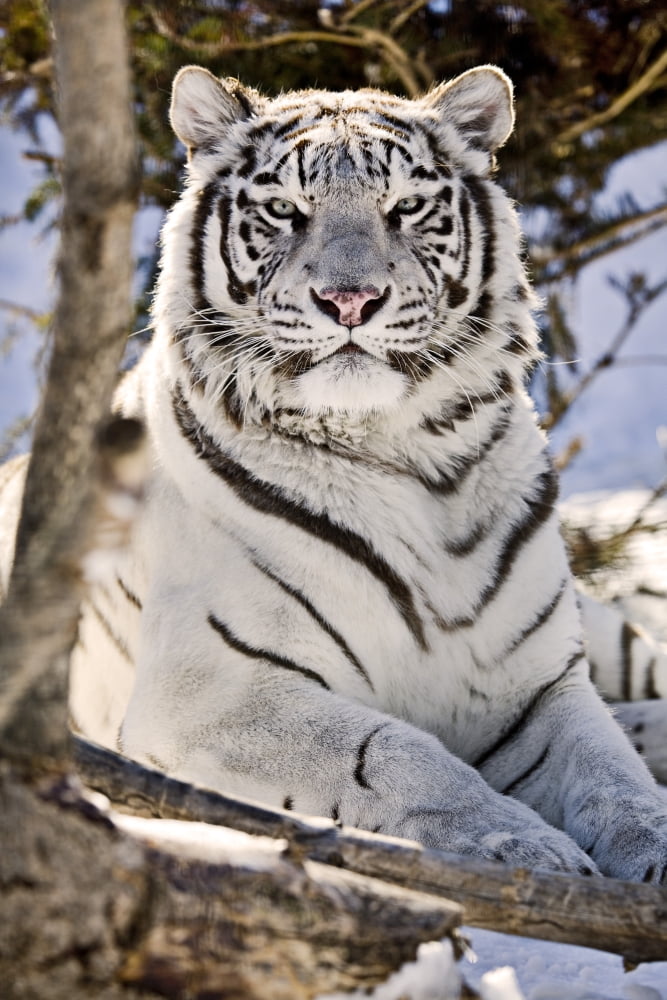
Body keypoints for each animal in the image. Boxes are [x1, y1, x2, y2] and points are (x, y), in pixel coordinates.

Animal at [2, 64, 667, 881]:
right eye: (285, 211)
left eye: (406, 207)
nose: (350, 300)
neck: (415, 467)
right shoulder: (213, 692)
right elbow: (398, 754)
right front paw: (524, 847)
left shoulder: (539, 685)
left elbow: (614, 775)